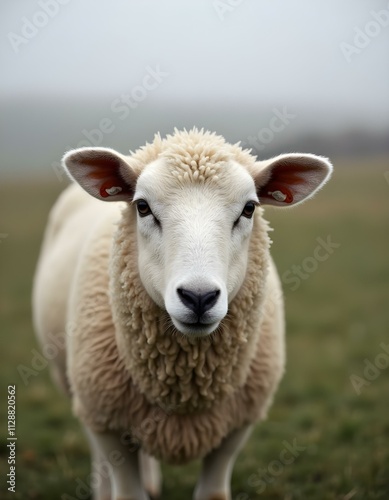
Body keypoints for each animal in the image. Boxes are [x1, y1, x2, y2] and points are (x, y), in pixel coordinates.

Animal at [31, 130, 332, 500]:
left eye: (249, 209)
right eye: (142, 207)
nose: (198, 297)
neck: (186, 386)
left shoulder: (236, 426)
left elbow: (213, 493)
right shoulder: (106, 419)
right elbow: (126, 491)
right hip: (77, 388)